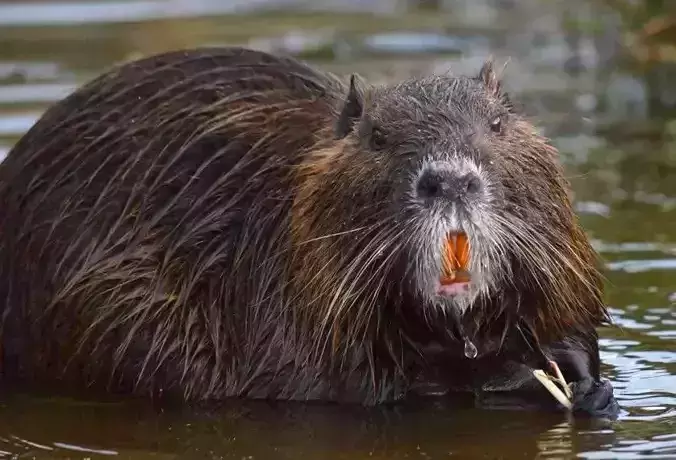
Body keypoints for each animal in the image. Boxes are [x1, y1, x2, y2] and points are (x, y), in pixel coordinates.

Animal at [0, 46, 618, 418]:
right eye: (376, 136)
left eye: (497, 123)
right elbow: (349, 384)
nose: (450, 181)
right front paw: (522, 375)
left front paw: (583, 378)